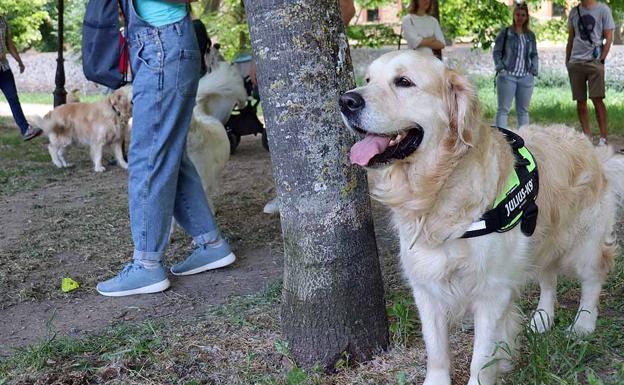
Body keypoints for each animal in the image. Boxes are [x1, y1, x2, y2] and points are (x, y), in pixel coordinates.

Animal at [342, 50, 624, 384]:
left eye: (404, 82)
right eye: (368, 79)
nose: (345, 101)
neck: (437, 188)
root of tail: (591, 146)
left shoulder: (492, 292)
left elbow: (481, 358)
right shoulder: (425, 288)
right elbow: (436, 350)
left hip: (585, 242)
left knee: (592, 279)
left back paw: (583, 325)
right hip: (540, 238)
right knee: (548, 278)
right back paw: (542, 319)